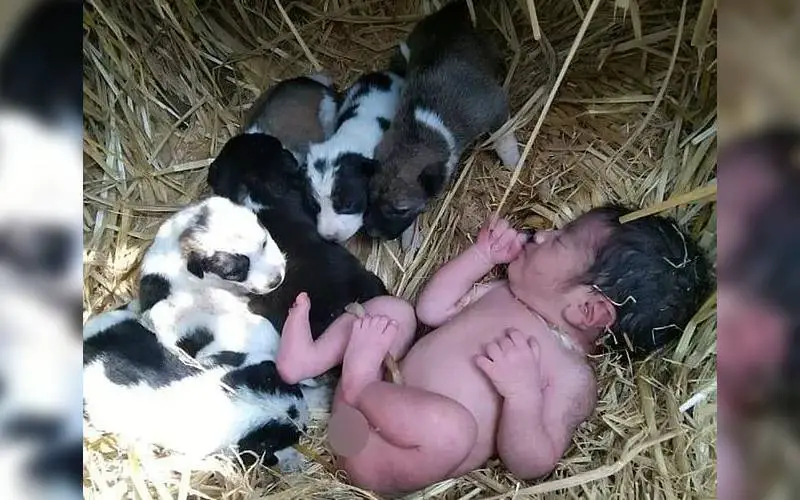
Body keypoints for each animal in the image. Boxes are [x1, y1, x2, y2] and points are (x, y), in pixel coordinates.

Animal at [364, 0, 524, 242]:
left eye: (401, 209)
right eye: (370, 196)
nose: (372, 233)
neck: (426, 123)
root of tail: (451, 10)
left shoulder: (495, 105)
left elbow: (503, 137)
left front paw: (513, 162)